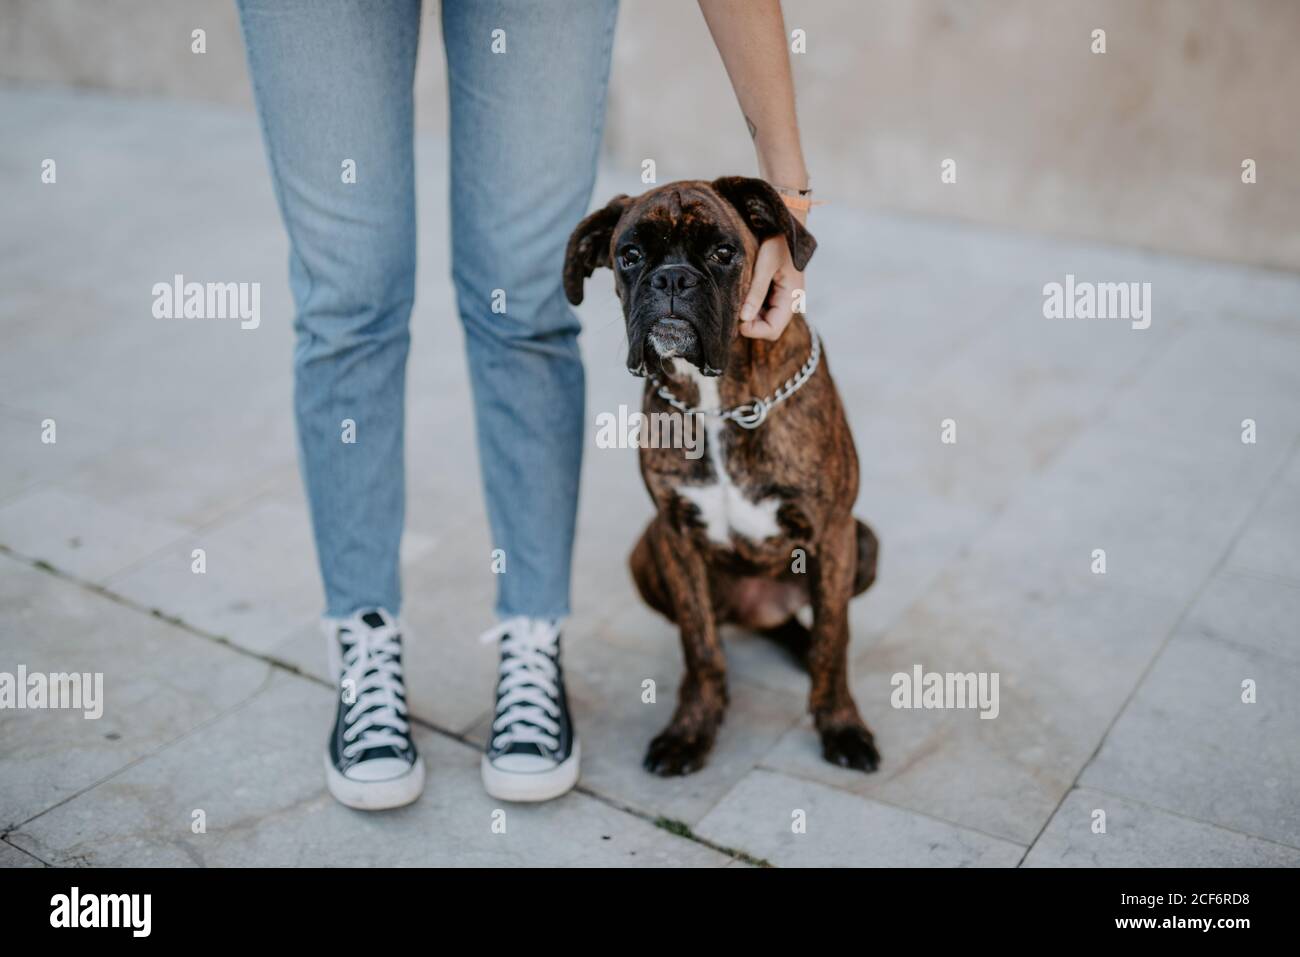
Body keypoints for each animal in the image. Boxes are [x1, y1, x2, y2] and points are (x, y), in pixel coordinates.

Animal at [564, 178, 878, 780]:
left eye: (723, 252)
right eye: (629, 255)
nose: (671, 279)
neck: (715, 398)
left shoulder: (832, 531)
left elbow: (835, 639)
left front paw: (841, 725)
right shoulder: (675, 536)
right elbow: (699, 644)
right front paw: (692, 730)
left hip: (864, 543)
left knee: (815, 625)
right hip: (645, 552)